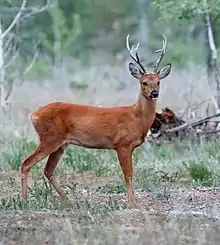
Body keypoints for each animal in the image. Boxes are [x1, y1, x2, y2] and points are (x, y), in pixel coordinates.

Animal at [20, 33, 172, 209]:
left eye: (158, 82)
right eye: (144, 82)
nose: (154, 93)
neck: (137, 119)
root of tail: (34, 115)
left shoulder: (129, 147)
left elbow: (130, 174)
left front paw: (133, 201)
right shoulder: (122, 144)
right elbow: (128, 174)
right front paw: (132, 203)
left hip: (60, 144)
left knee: (48, 170)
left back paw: (68, 201)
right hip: (50, 138)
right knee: (26, 163)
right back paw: (24, 201)